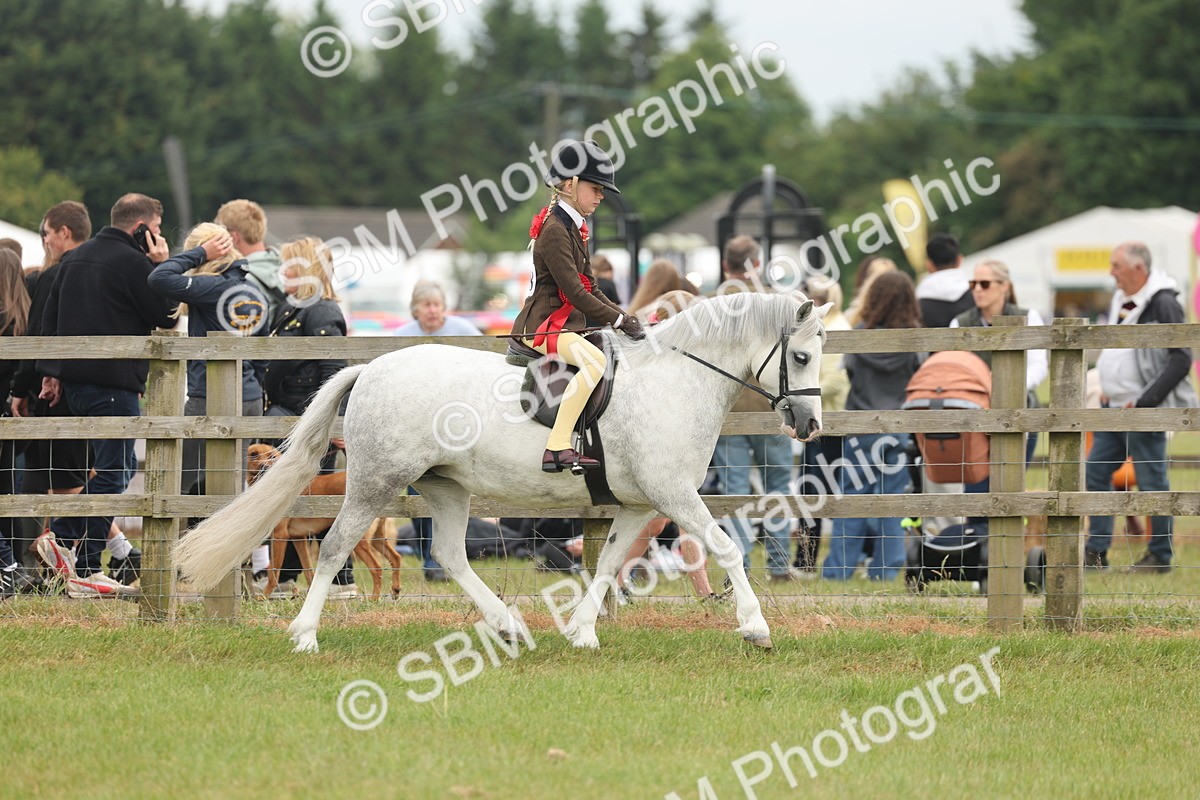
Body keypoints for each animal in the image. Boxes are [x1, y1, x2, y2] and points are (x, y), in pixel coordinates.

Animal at [175, 291, 830, 653]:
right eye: (800, 355)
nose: (809, 423)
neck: (675, 378)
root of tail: (371, 368)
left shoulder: (641, 502)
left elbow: (609, 561)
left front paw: (582, 631)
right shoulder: (674, 493)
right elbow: (724, 546)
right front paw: (755, 627)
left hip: (445, 486)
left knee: (450, 554)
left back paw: (508, 624)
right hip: (375, 483)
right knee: (335, 548)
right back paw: (305, 635)